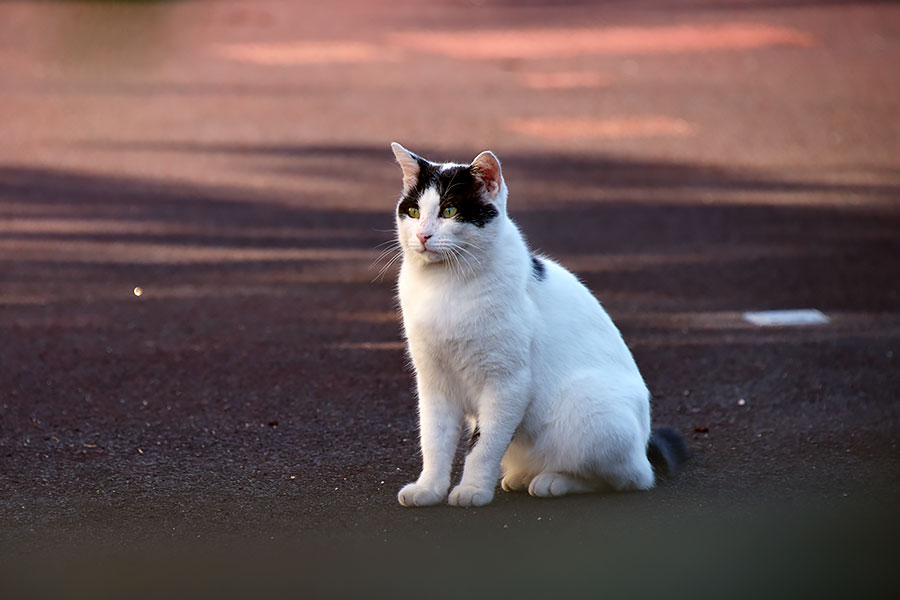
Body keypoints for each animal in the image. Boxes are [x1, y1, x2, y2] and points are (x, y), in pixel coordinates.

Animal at [390, 142, 684, 506]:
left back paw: (553, 481)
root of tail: (644, 444)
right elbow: (434, 440)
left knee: (628, 478)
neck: (444, 286)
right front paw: (429, 488)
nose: (423, 235)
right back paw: (522, 476)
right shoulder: (433, 382)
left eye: (449, 211)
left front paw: (472, 490)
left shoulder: (507, 383)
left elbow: (483, 446)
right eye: (414, 211)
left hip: (589, 410)